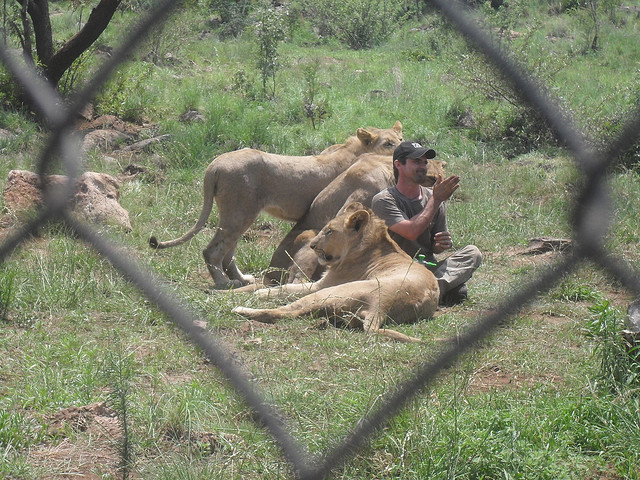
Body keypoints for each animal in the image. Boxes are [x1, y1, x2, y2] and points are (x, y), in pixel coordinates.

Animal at [148, 122, 402, 290]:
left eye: (399, 140)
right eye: (388, 143)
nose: (403, 147)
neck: (356, 150)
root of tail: (215, 164)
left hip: (236, 215)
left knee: (228, 251)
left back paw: (242, 279)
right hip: (240, 212)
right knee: (213, 250)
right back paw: (224, 283)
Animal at [231, 202, 440, 342]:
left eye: (329, 231)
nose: (313, 246)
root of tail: (382, 306)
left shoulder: (321, 285)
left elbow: (286, 289)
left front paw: (261, 292)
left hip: (331, 292)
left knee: (283, 312)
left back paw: (241, 309)